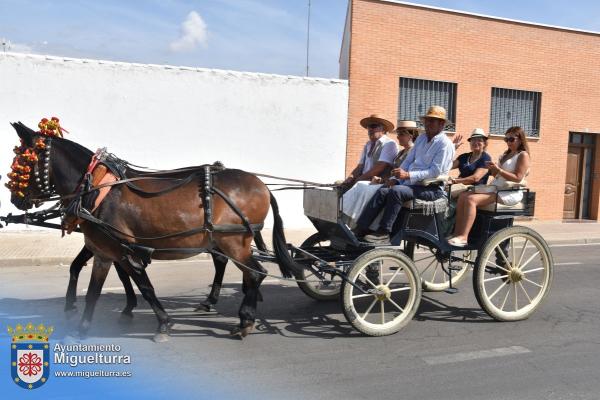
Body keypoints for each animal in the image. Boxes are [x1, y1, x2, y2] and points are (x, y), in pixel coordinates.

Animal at [10, 122, 304, 340]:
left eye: (21, 161)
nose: (14, 199)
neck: (96, 189)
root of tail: (262, 186)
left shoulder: (121, 250)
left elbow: (144, 286)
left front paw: (162, 323)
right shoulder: (106, 251)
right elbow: (95, 288)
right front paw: (81, 327)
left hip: (233, 241)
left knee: (255, 273)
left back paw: (244, 320)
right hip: (226, 241)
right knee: (243, 270)